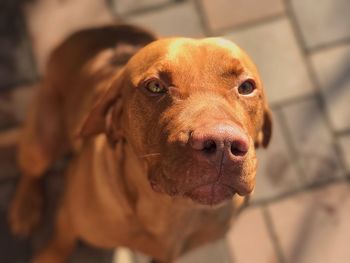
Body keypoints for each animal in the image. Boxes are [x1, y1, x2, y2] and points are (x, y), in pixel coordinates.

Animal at [7, 23, 270, 262]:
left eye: (247, 86)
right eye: (154, 86)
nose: (222, 144)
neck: (173, 211)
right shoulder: (69, 217)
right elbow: (60, 245)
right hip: (42, 142)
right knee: (31, 170)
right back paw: (25, 207)